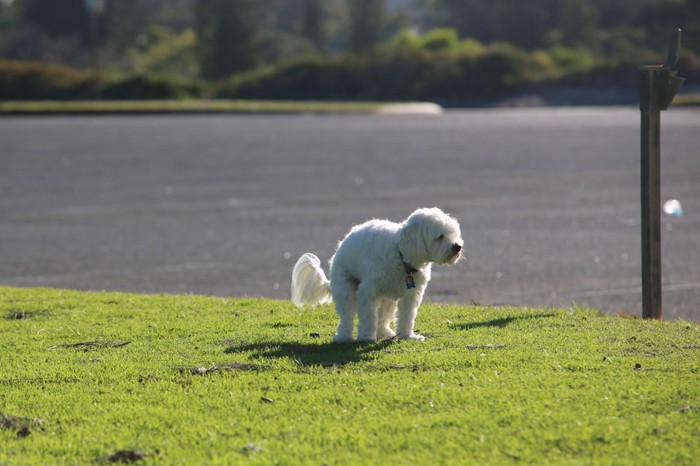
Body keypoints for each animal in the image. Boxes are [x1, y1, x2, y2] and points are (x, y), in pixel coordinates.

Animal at [292, 208, 464, 342]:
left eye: (453, 233)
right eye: (440, 236)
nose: (457, 246)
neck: (401, 256)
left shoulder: (411, 295)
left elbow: (407, 316)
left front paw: (408, 336)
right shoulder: (367, 293)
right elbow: (368, 316)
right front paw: (366, 337)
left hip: (388, 299)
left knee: (382, 317)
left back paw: (385, 332)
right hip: (346, 288)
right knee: (347, 316)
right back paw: (343, 337)